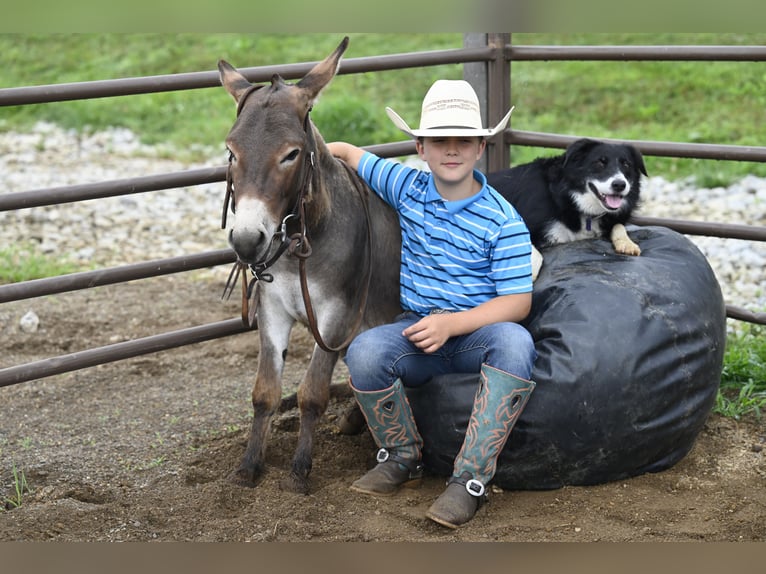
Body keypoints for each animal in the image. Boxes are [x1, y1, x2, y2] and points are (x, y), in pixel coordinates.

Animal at [486, 140, 648, 280]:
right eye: (600, 162)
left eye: (626, 164)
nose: (620, 185)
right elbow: (532, 253)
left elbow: (618, 226)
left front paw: (627, 244)